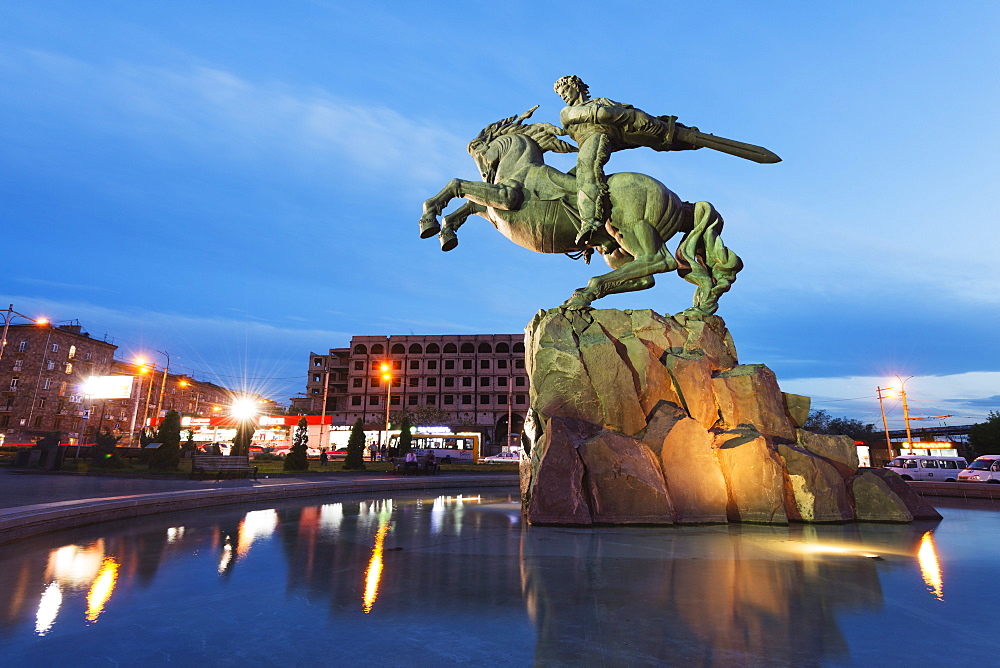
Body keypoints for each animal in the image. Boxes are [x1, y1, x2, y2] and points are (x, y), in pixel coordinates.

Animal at [416, 108, 744, 318]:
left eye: (476, 149)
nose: (486, 173)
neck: (519, 167)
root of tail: (678, 200)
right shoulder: (495, 205)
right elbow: (468, 203)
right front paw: (442, 231)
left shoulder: (506, 197)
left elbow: (458, 184)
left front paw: (429, 222)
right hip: (615, 248)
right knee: (648, 276)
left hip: (633, 228)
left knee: (659, 261)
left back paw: (586, 291)